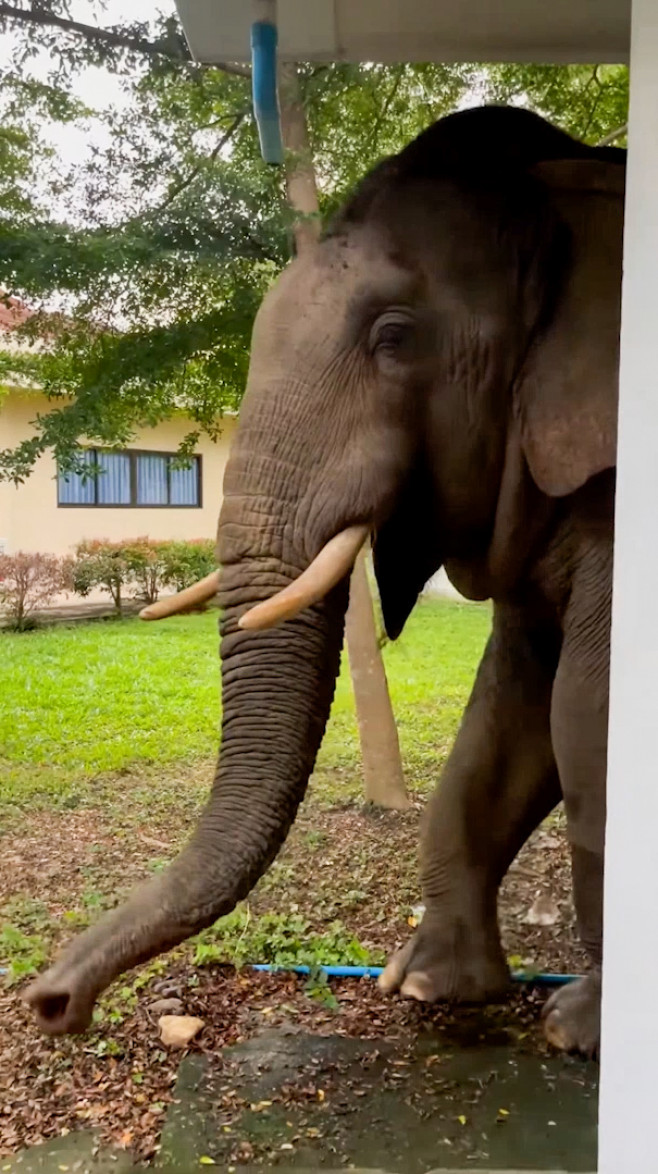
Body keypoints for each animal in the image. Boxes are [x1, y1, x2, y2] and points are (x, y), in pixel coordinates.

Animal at [25, 103, 625, 1056]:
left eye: (395, 337)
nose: (51, 1005)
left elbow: (587, 710)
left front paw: (579, 1037)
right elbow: (512, 707)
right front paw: (425, 987)